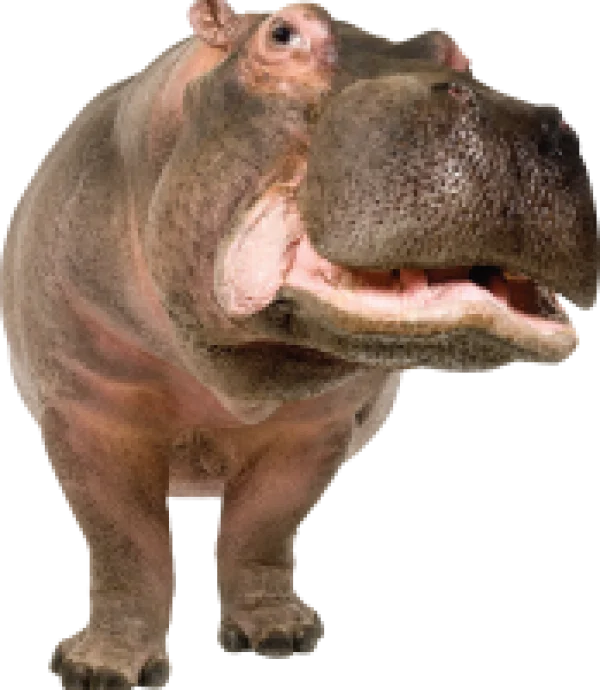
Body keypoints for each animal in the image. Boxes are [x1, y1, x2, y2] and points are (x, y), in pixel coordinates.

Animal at [0, 0, 598, 687]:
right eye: (282, 33)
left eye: (460, 53)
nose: (520, 120)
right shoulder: (90, 406)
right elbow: (124, 543)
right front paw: (99, 668)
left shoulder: (314, 425)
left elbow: (267, 521)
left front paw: (280, 636)